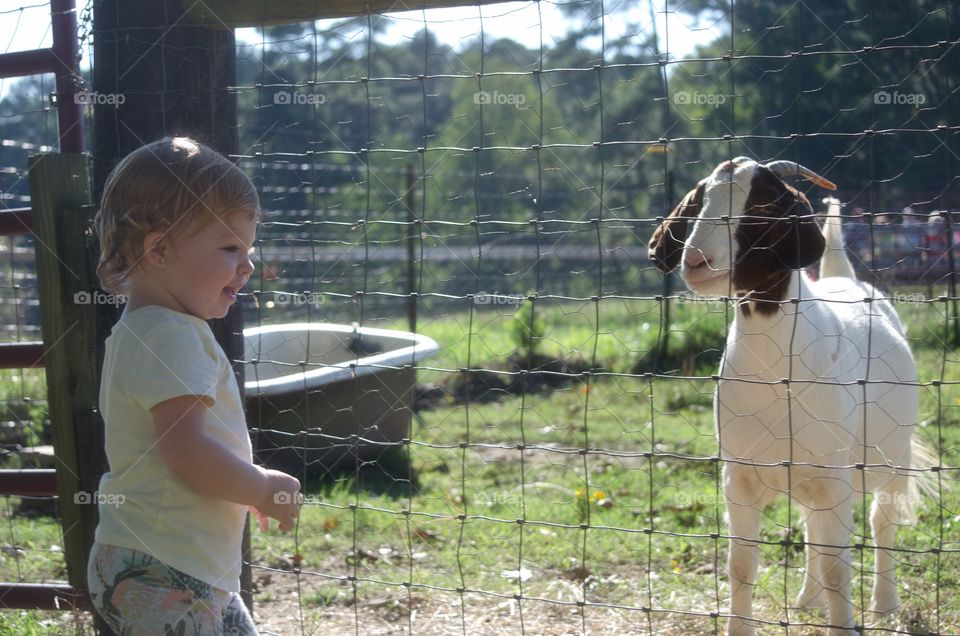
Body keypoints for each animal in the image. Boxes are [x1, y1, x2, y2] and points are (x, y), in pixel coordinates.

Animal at [644, 157, 928, 632]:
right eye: (700, 200)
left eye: (760, 207)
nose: (697, 261)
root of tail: (843, 278)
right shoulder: (739, 476)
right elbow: (742, 565)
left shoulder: (834, 477)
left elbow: (838, 569)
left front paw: (844, 625)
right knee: (813, 529)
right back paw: (807, 600)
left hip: (893, 458)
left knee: (881, 521)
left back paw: (884, 604)